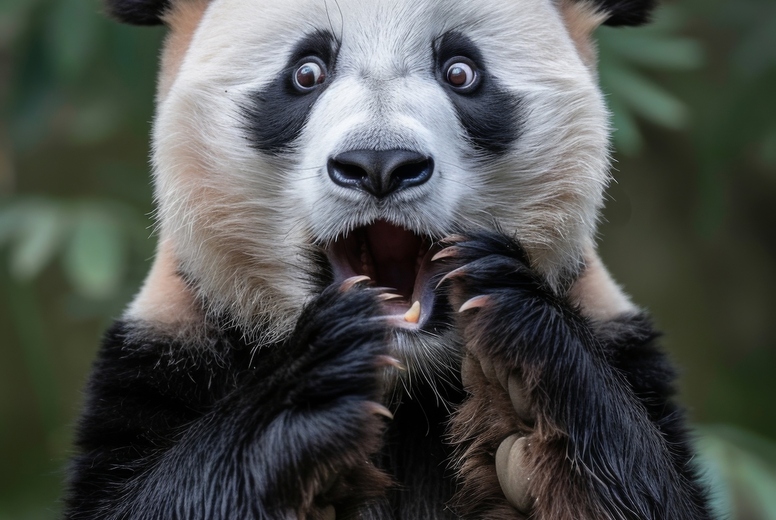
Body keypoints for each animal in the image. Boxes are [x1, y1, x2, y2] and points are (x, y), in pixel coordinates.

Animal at [64, 0, 713, 518]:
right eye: (306, 72)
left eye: (461, 71)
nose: (380, 164)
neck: (411, 390)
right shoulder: (167, 352)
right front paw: (320, 375)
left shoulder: (620, 342)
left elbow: (655, 490)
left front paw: (523, 360)